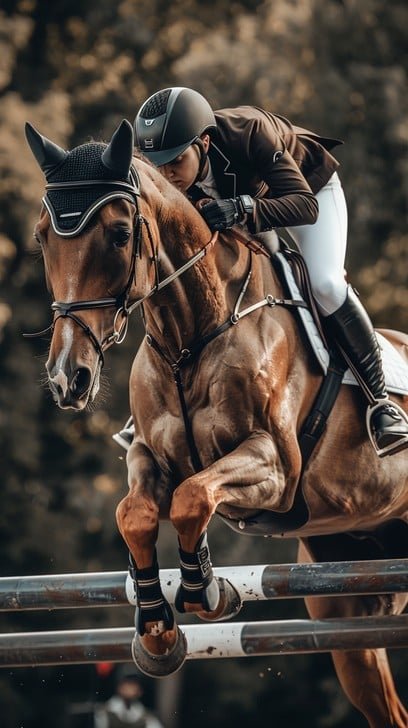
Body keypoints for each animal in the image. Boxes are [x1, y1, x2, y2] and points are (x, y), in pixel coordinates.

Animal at [25, 119, 407, 728]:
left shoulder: (276, 468)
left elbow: (191, 498)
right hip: (348, 601)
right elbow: (137, 512)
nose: (69, 378)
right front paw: (158, 628)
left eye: (118, 233)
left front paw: (205, 590)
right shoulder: (148, 456)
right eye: (42, 237)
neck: (191, 336)